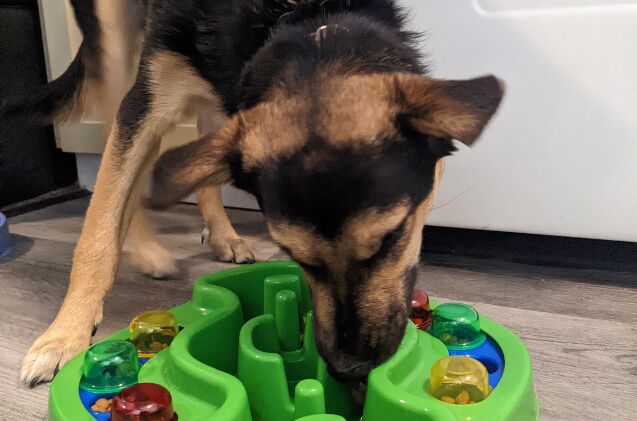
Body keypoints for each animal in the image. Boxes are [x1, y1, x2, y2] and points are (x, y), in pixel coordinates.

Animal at [9, 0, 504, 388]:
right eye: (295, 255)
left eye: (392, 239)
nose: (348, 369)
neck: (306, 13)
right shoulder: (147, 99)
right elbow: (100, 226)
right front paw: (64, 335)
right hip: (118, 46)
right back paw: (147, 251)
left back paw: (222, 234)